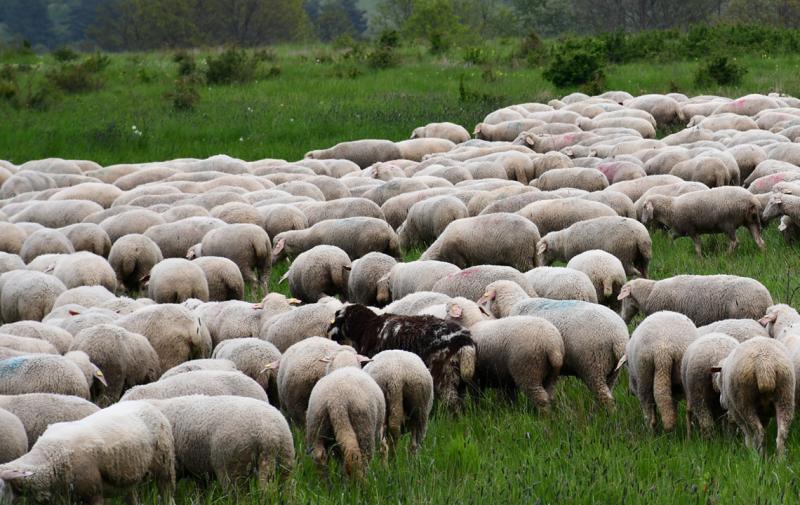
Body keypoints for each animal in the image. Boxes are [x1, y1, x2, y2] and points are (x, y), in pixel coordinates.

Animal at [0, 400, 176, 504]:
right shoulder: (61, 497)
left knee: (167, 492)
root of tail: (145, 403)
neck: (50, 456)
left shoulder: (93, 492)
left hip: (164, 464)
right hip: (128, 473)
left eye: (0, 489)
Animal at [478, 278, 628, 408]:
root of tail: (618, 337)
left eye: (486, 298)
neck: (511, 306)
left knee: (604, 396)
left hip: (593, 364)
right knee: (608, 391)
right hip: (612, 371)